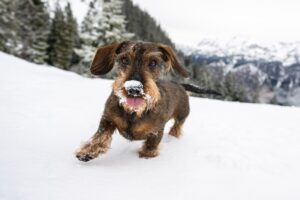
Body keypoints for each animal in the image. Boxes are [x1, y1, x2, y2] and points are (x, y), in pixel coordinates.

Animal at [75, 40, 218, 161]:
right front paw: (88, 151)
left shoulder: (157, 130)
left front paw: (147, 155)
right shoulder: (108, 118)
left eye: (153, 62)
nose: (134, 89)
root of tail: (180, 85)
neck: (133, 112)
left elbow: (151, 145)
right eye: (124, 59)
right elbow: (100, 135)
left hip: (182, 115)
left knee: (177, 126)